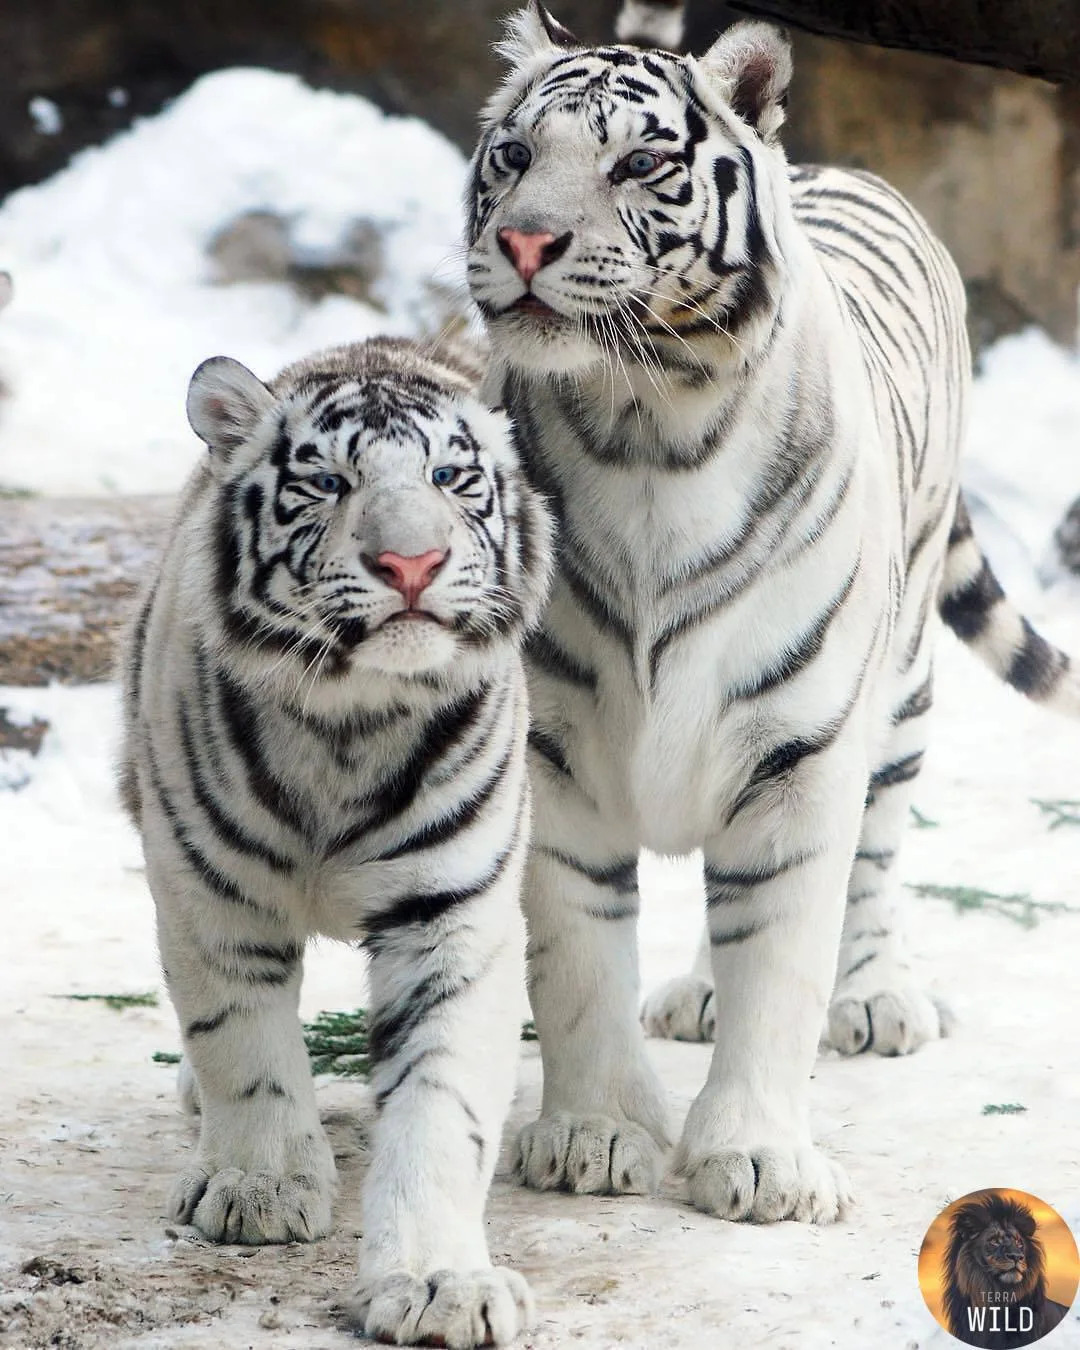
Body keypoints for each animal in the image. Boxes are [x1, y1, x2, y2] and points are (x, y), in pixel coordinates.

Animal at [118, 336, 551, 1348]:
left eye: (451, 477)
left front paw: (440, 1284)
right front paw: (259, 1188)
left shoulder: (451, 917)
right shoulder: (210, 895)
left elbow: (440, 1107)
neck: (349, 723)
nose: (412, 563)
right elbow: (242, 1046)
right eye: (326, 481)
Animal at [463, 3, 1080, 1225]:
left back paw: (880, 998)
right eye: (512, 154)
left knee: (877, 853)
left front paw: (757, 1161)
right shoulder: (554, 755)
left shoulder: (799, 750)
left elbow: (785, 963)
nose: (523, 244)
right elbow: (579, 960)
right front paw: (594, 1136)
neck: (643, 426)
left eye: (635, 164)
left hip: (901, 687)